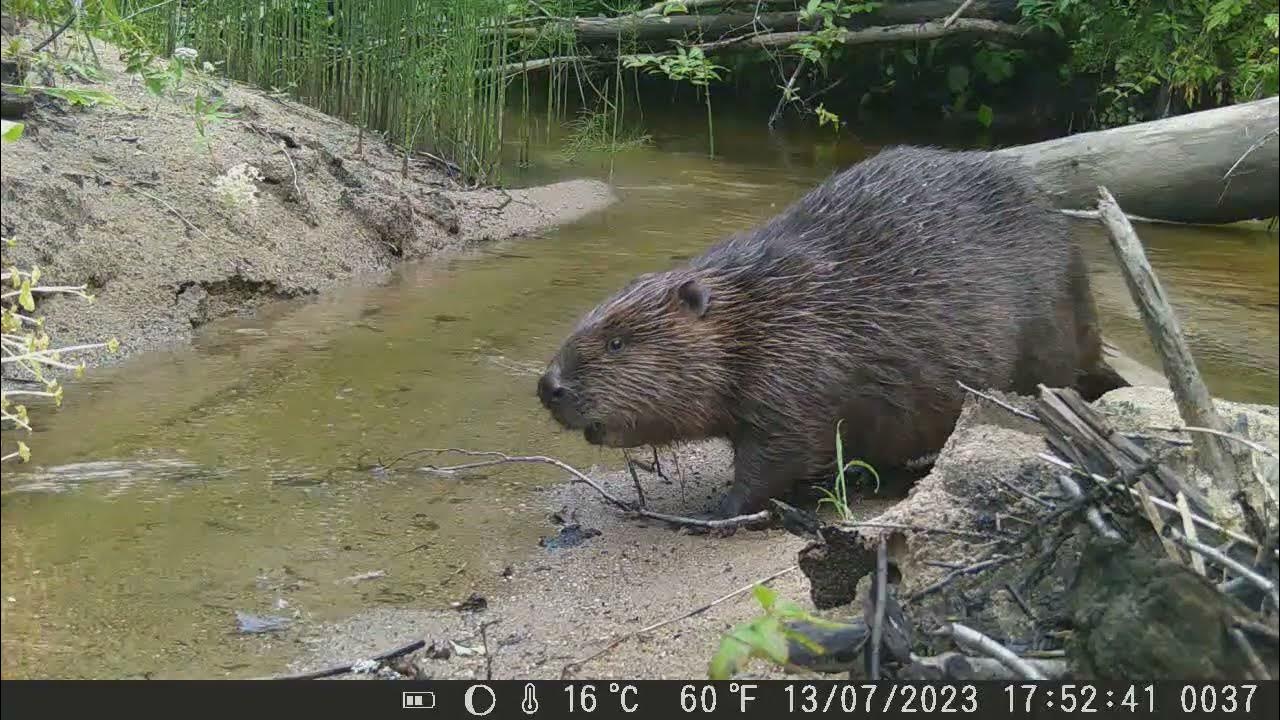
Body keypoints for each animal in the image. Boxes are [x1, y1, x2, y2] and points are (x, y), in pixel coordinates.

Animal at [535, 146, 1126, 515]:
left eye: (617, 342)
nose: (548, 387)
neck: (762, 307)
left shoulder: (797, 372)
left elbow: (780, 452)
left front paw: (716, 510)